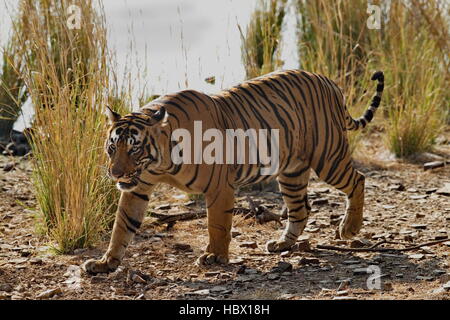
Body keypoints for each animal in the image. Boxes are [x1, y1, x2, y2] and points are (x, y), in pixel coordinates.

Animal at [83, 69, 384, 274]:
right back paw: (282, 244)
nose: (115, 174)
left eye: (134, 148)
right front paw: (105, 262)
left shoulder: (219, 186)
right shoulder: (139, 188)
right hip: (292, 172)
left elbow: (217, 224)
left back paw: (349, 228)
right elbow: (122, 226)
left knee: (358, 180)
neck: (161, 162)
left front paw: (215, 257)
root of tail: (328, 80)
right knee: (301, 209)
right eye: (112, 147)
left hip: (328, 157)